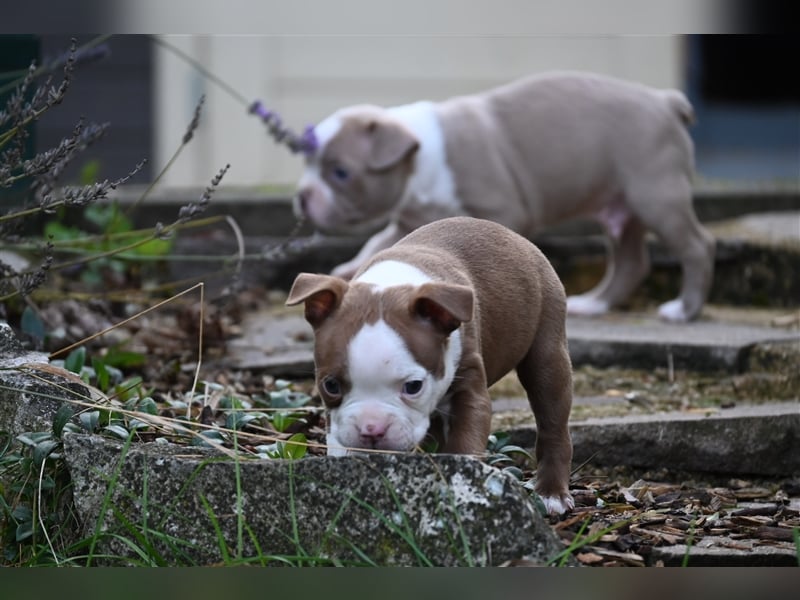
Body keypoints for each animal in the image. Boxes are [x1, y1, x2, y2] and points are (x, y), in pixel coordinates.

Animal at [288, 216, 576, 516]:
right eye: (330, 386)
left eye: (413, 387)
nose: (372, 428)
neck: (391, 286)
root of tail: (513, 235)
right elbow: (340, 441)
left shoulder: (469, 389)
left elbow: (466, 439)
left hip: (548, 348)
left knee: (552, 419)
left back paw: (551, 494)